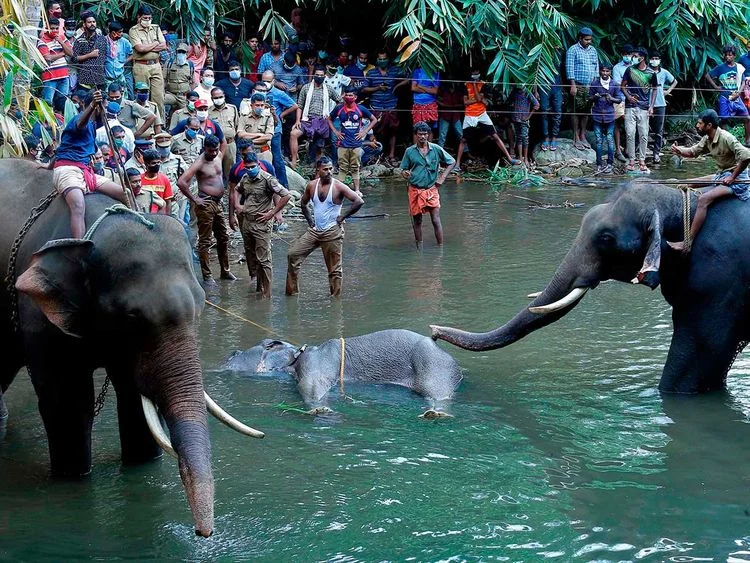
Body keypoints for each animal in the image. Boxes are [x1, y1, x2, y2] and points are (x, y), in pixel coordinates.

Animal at [0, 160, 260, 537]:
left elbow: (133, 399)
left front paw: (142, 465)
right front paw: (74, 478)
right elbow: (68, 403)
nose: (204, 533)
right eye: (132, 317)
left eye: (201, 306)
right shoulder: (38, 313)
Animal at [221, 329, 463, 415]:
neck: (296, 355)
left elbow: (311, 387)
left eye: (235, 354)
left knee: (437, 395)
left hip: (433, 368)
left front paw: (320, 410)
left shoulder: (315, 365)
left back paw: (434, 413)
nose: (230, 353)